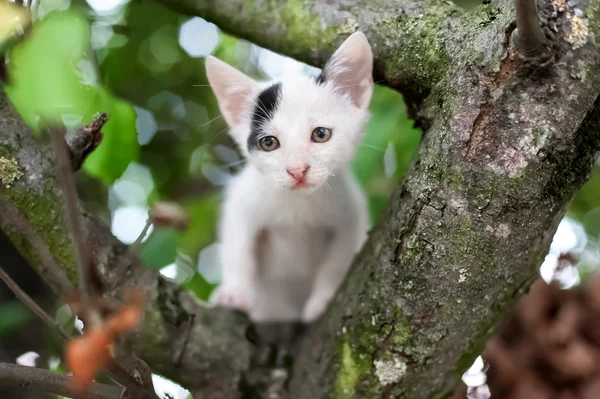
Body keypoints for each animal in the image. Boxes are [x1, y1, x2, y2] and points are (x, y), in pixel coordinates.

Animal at [207, 32, 376, 324]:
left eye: (321, 134)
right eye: (268, 143)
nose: (297, 170)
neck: (298, 207)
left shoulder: (351, 216)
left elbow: (337, 261)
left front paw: (322, 300)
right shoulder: (242, 204)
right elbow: (239, 250)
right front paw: (235, 293)